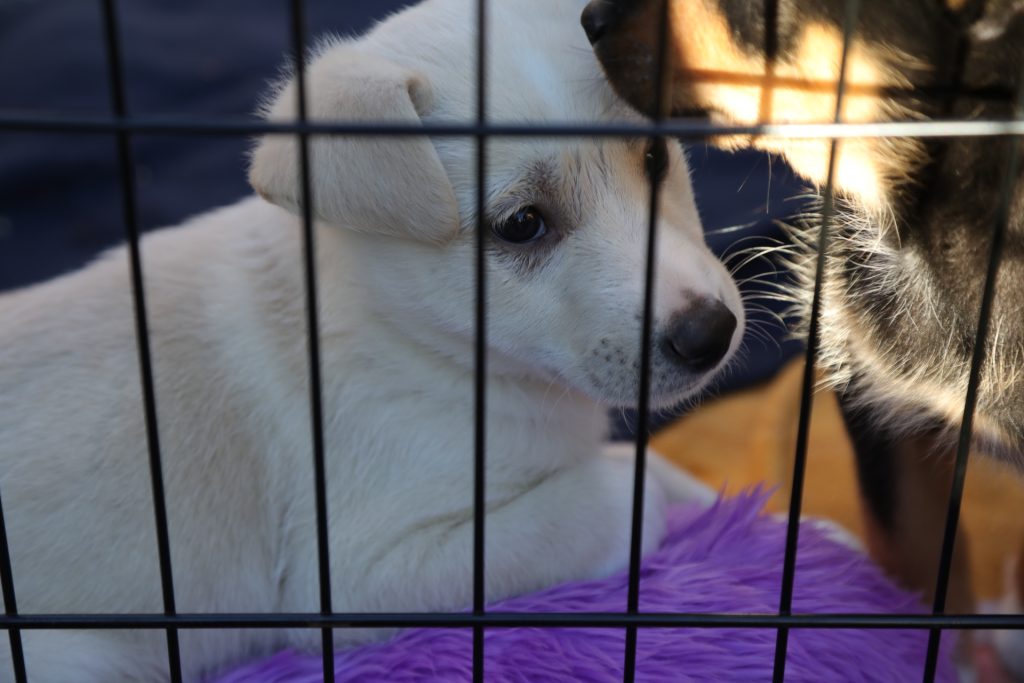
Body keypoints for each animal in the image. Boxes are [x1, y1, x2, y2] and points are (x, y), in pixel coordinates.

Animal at [0, 0, 741, 679]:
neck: (413, 337)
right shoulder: (357, 572)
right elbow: (609, 495)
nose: (710, 334)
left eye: (655, 158)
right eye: (522, 224)